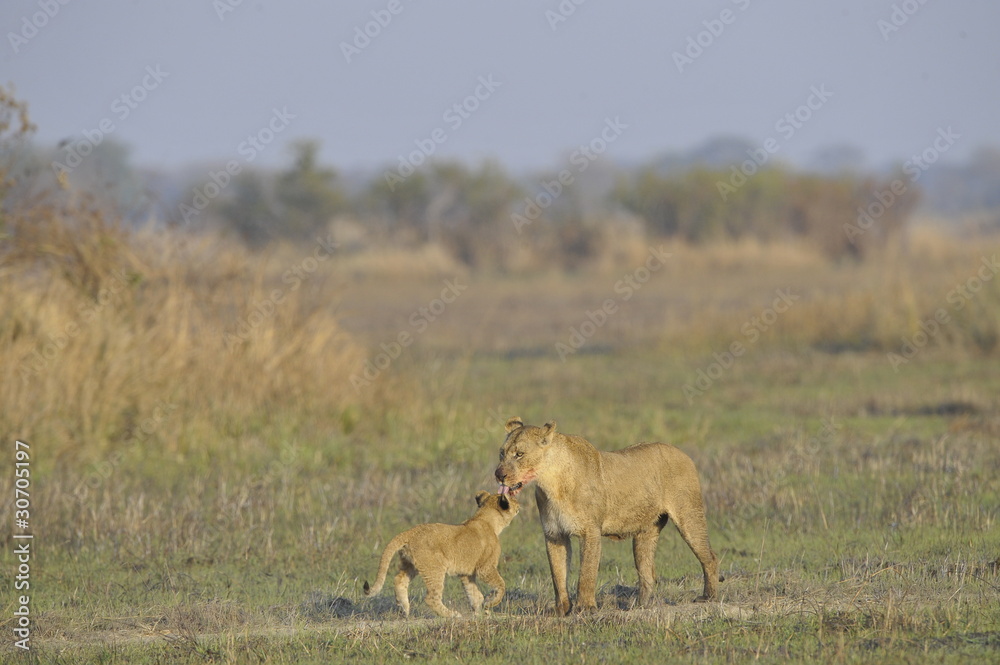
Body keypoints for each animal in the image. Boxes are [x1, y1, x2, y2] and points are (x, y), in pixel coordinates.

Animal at [363, 491, 520, 618]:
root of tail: (410, 532)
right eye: (512, 498)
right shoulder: (485, 568)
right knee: (431, 597)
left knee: (398, 580)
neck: (485, 519)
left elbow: (474, 594)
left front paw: (480, 612)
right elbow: (501, 584)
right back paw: (452, 615)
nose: (519, 503)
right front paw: (490, 603)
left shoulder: (466, 574)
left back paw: (405, 609)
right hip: (435, 568)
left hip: (410, 565)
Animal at [494, 418, 720, 615]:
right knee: (647, 571)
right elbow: (558, 575)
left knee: (709, 556)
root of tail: (682, 453)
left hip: (688, 515)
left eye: (520, 454)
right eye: (501, 453)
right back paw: (641, 606)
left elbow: (586, 573)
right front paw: (561, 610)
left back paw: (708, 597)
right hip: (645, 532)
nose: (498, 474)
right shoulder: (554, 534)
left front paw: (585, 608)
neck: (550, 483)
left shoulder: (590, 531)